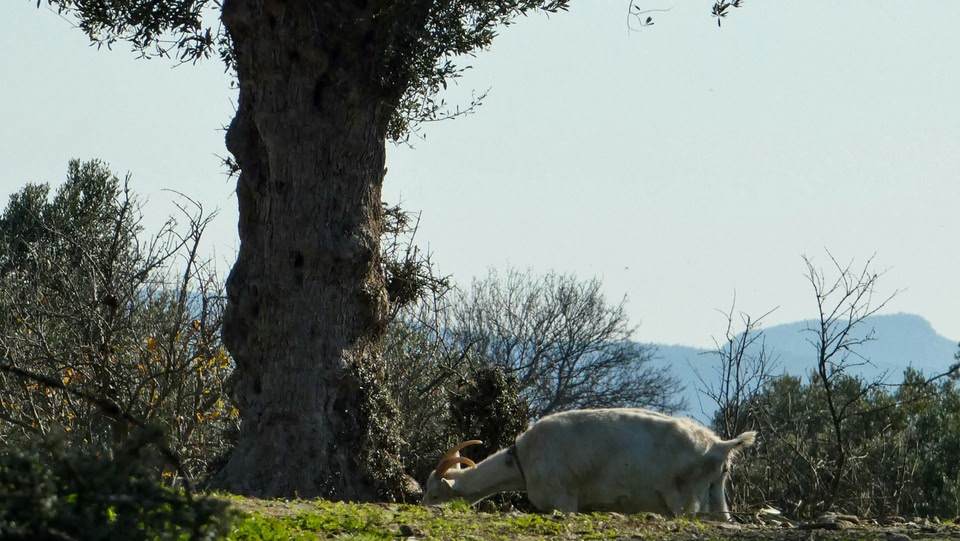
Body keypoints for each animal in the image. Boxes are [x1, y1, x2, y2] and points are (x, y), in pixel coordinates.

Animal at [422, 407, 756, 518]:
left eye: (435, 494)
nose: (422, 507)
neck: (524, 458)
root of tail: (718, 446)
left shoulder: (565, 499)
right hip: (715, 489)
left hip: (684, 498)